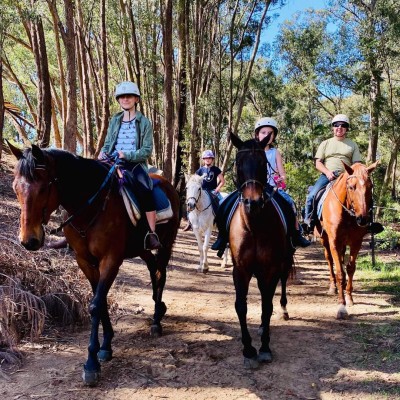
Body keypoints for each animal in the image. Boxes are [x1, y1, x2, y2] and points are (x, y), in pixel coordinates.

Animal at [8, 143, 180, 384]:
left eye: (42, 189)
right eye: (15, 188)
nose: (28, 241)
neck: (91, 207)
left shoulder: (111, 259)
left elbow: (96, 304)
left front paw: (91, 363)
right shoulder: (85, 261)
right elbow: (101, 300)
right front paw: (106, 346)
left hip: (165, 243)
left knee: (160, 273)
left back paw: (156, 320)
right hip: (142, 248)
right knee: (153, 269)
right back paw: (160, 308)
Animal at [228, 132, 294, 368]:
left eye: (263, 163)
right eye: (238, 163)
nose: (253, 202)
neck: (255, 226)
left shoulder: (271, 269)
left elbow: (266, 305)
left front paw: (264, 348)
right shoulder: (241, 269)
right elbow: (241, 305)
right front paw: (248, 349)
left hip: (284, 262)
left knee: (279, 289)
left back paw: (282, 311)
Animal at [316, 159, 378, 318]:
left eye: (370, 187)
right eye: (351, 187)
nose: (363, 219)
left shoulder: (356, 242)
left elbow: (350, 268)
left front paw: (349, 298)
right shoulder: (334, 242)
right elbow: (339, 272)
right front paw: (341, 305)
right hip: (324, 240)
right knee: (330, 260)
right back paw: (333, 287)